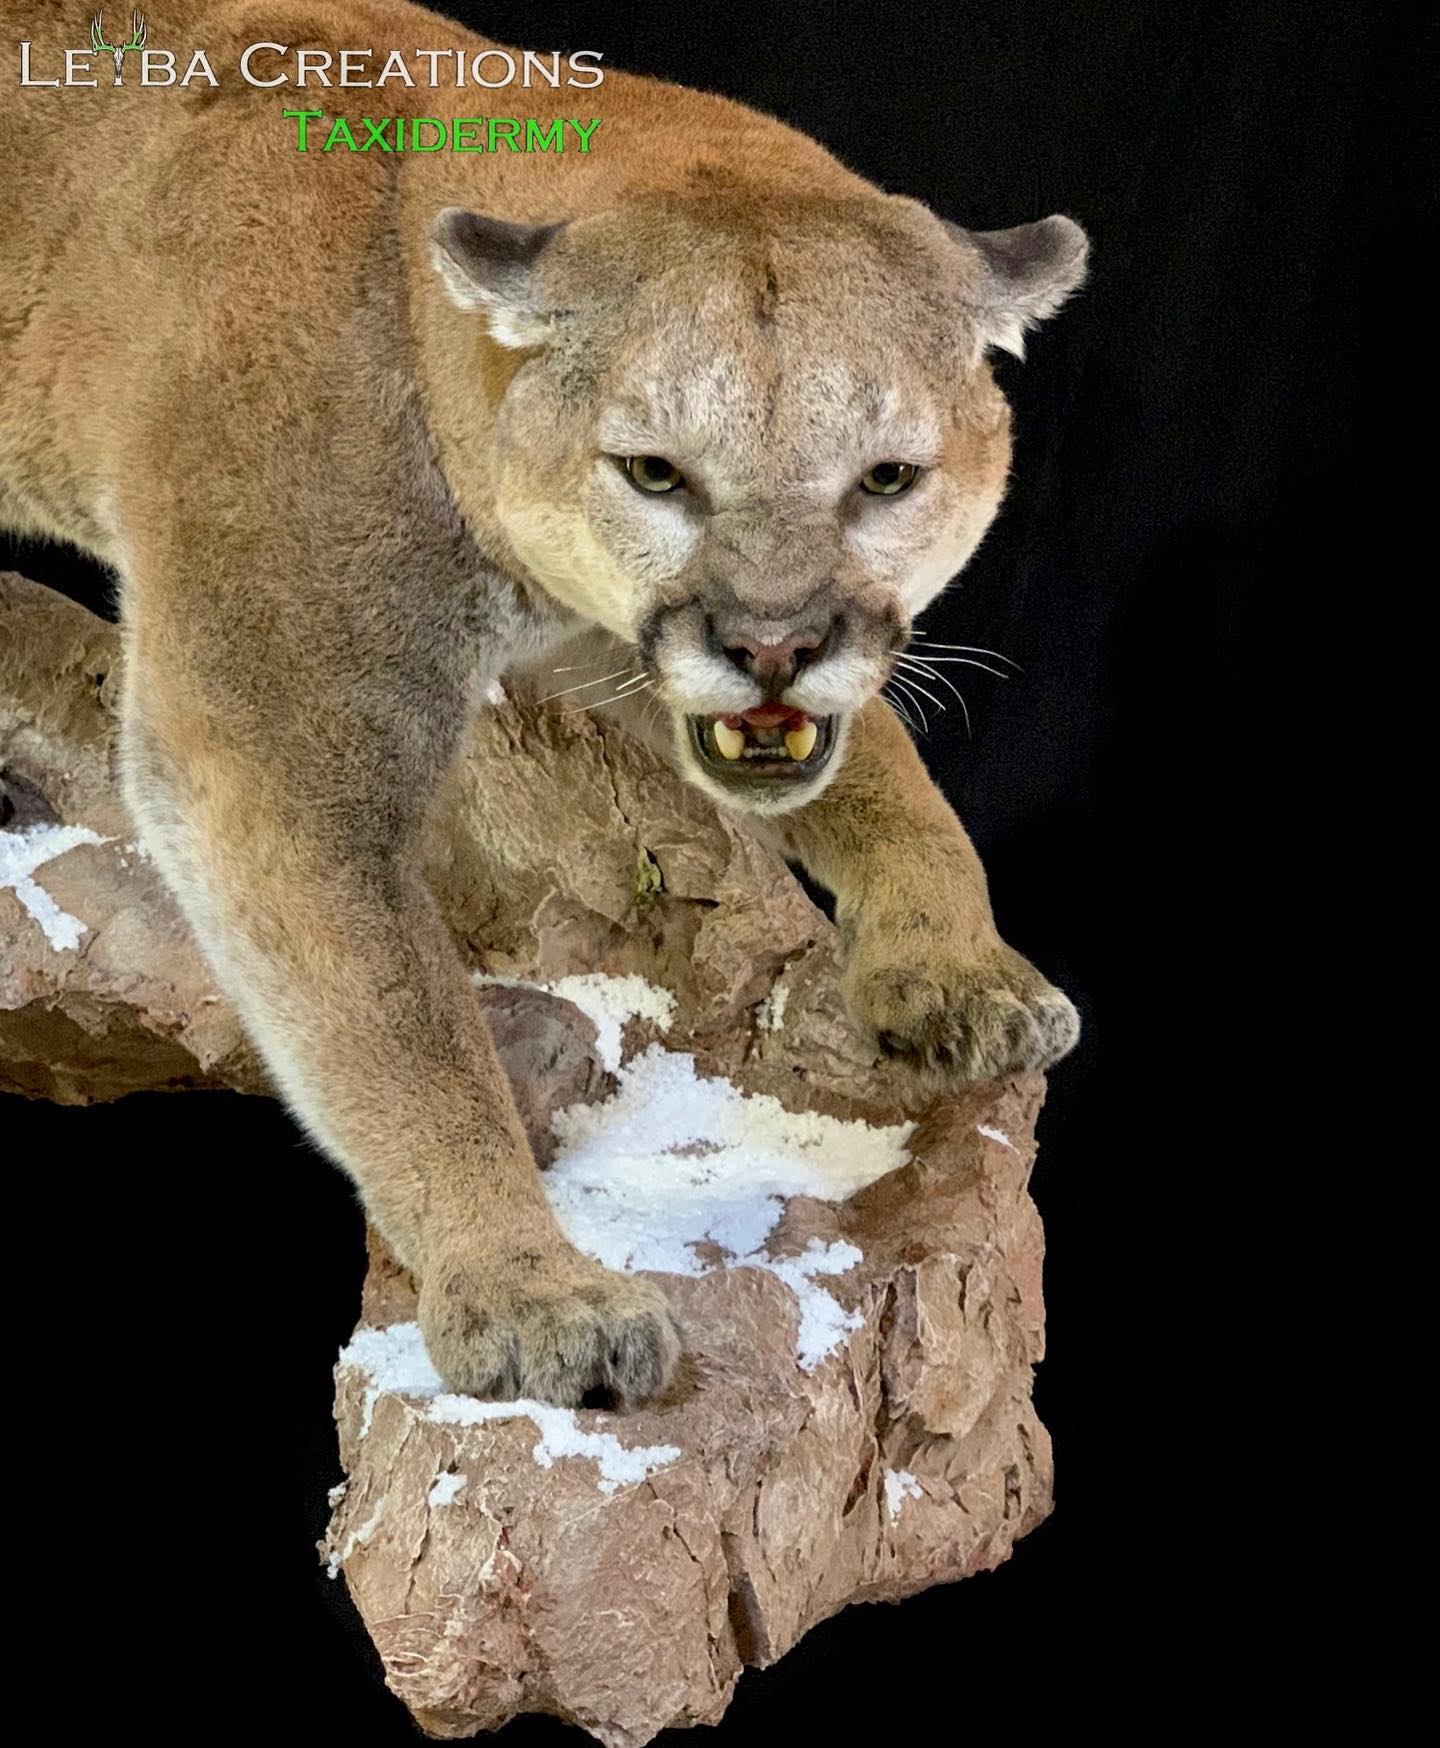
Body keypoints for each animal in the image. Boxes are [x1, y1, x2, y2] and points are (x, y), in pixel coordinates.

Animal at [0, 0, 1087, 1409]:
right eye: (656, 472)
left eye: (887, 478)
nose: (774, 644)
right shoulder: (272, 745)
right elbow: (408, 1028)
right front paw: (529, 1290)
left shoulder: (597, 634)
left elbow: (884, 765)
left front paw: (957, 968)